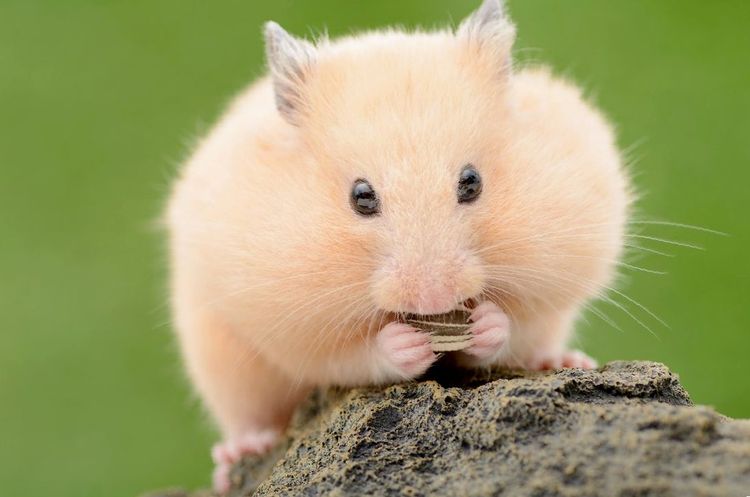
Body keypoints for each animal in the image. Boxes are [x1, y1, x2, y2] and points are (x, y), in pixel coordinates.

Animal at [166, 0, 630, 491]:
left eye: (472, 182)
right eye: (361, 196)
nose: (434, 299)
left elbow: (514, 323)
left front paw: (486, 323)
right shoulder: (291, 326)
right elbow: (350, 357)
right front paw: (406, 344)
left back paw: (565, 359)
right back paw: (238, 453)